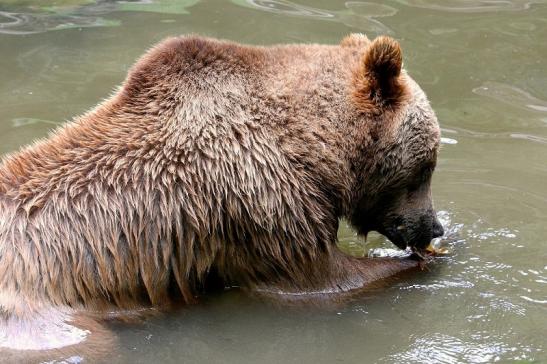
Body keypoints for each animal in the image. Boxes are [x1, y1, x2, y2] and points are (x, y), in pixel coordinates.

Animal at [0, 33, 446, 352]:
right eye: (427, 165)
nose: (434, 227)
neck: (311, 149)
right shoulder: (263, 197)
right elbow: (323, 278)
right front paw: (415, 262)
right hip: (41, 320)